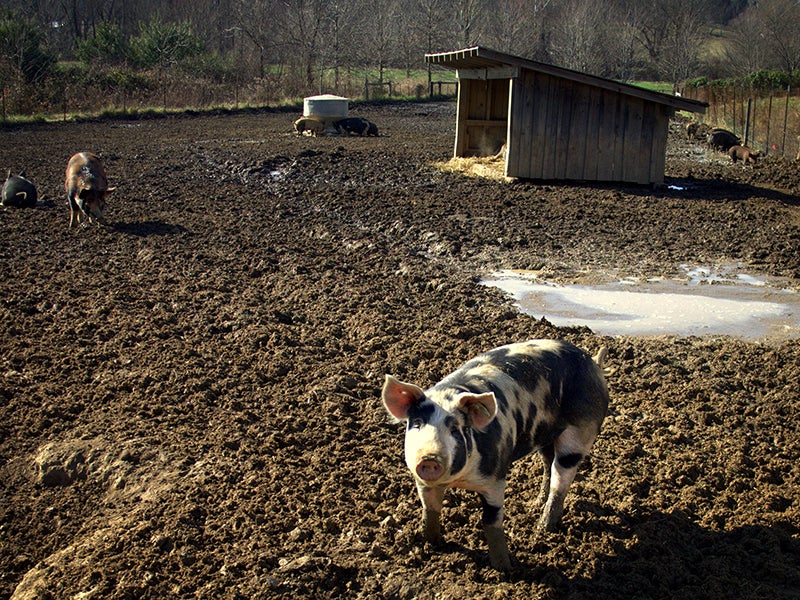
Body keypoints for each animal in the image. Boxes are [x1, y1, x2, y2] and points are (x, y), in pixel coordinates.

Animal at [384, 340, 608, 568]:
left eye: (455, 430)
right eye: (417, 424)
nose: (430, 458)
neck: (460, 479)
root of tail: (592, 363)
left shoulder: (495, 477)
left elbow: (491, 523)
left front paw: (504, 568)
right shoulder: (423, 482)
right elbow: (430, 511)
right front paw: (431, 543)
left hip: (579, 435)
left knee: (560, 479)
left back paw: (542, 528)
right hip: (544, 436)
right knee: (548, 464)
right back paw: (534, 505)